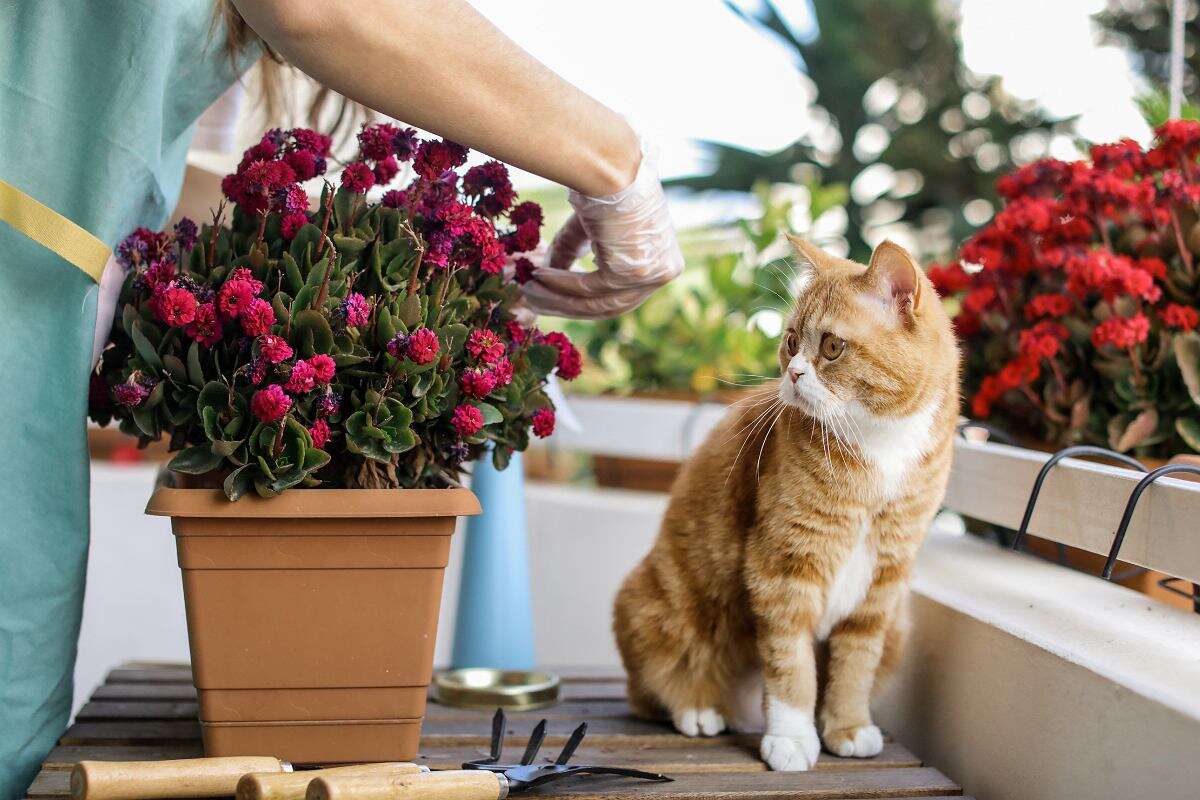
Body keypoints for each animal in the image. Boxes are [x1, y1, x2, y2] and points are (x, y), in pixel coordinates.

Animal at [614, 236, 960, 767]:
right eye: (793, 340)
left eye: (832, 346)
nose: (794, 373)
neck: (878, 446)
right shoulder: (783, 567)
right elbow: (790, 665)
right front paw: (794, 737)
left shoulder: (883, 586)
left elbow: (855, 666)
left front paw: (847, 726)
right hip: (661, 605)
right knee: (653, 684)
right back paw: (698, 707)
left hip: (900, 626)